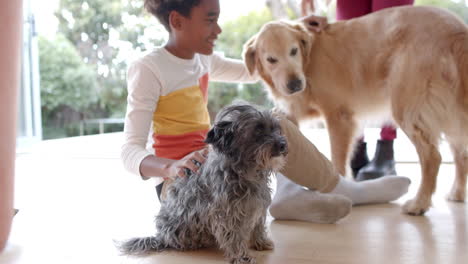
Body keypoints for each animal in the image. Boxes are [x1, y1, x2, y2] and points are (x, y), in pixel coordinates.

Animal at [119, 102, 288, 264]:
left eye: (276, 128)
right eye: (258, 129)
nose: (283, 144)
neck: (247, 172)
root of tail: (160, 237)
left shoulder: (257, 205)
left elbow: (257, 226)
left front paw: (261, 242)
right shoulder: (227, 213)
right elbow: (234, 236)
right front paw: (241, 256)